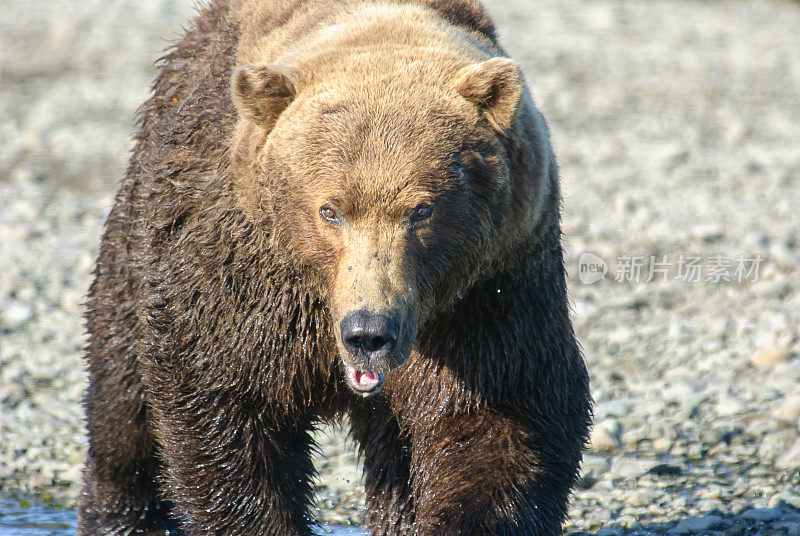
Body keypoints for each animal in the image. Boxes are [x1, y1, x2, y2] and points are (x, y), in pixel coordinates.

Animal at [79, 0, 592, 532]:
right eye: (330, 210)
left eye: (421, 209)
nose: (368, 332)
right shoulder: (242, 279)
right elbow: (223, 407)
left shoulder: (492, 289)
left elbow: (500, 420)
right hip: (141, 231)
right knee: (122, 402)